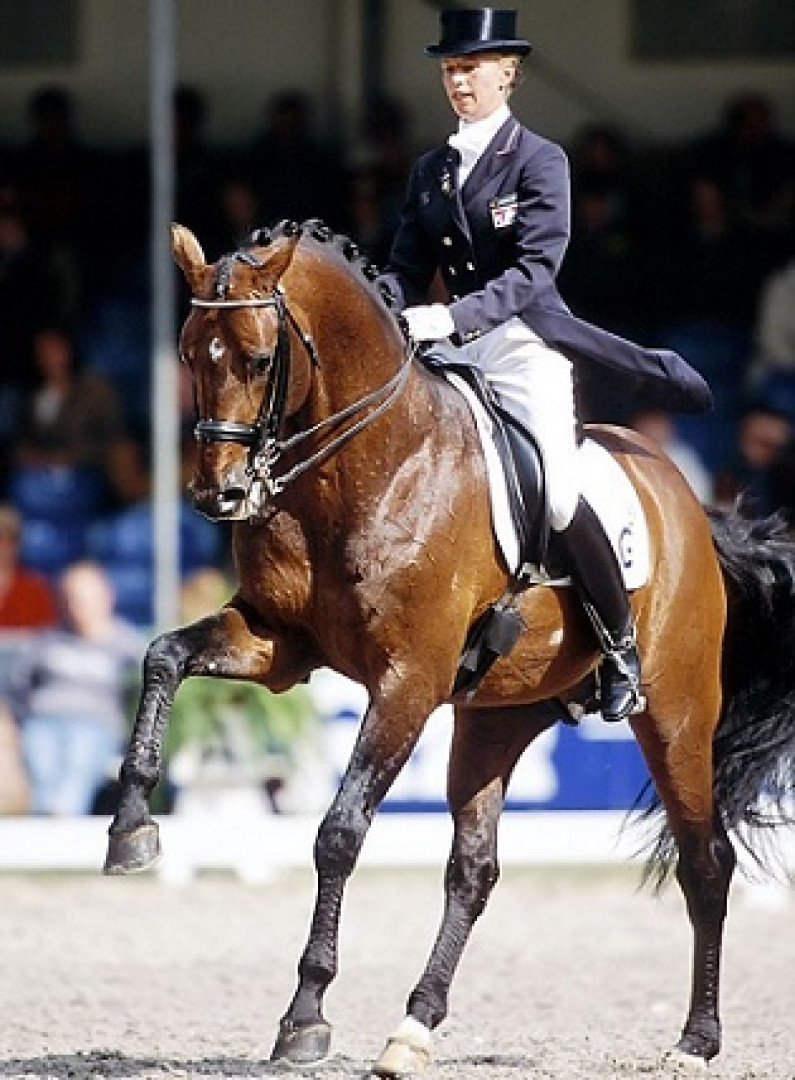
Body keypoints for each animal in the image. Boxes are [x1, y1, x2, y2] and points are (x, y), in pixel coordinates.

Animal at [104, 218, 795, 1076]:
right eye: (189, 353)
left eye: (260, 359)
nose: (218, 495)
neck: (363, 468)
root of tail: (691, 505)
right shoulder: (279, 642)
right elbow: (163, 655)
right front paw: (132, 827)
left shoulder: (407, 681)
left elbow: (339, 833)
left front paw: (305, 1015)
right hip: (495, 719)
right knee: (474, 870)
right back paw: (412, 1028)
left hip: (676, 713)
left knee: (706, 861)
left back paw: (696, 1039)